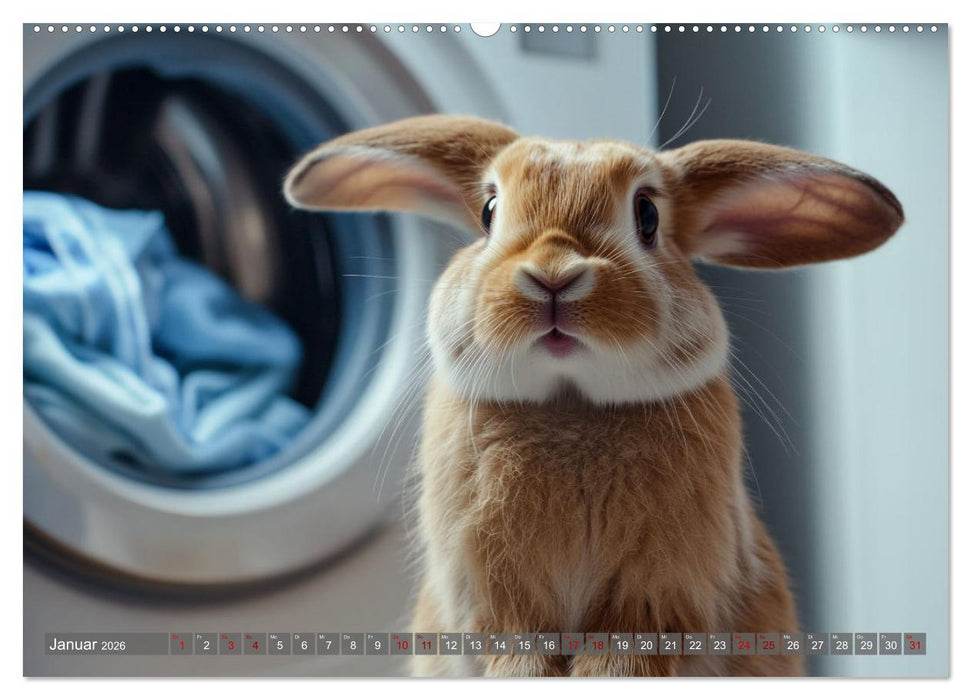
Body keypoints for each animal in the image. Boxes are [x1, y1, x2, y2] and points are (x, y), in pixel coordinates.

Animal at [283, 115, 903, 676]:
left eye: (647, 215)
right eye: (488, 213)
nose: (553, 275)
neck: (570, 402)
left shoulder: (654, 600)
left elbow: (618, 659)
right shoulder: (498, 602)